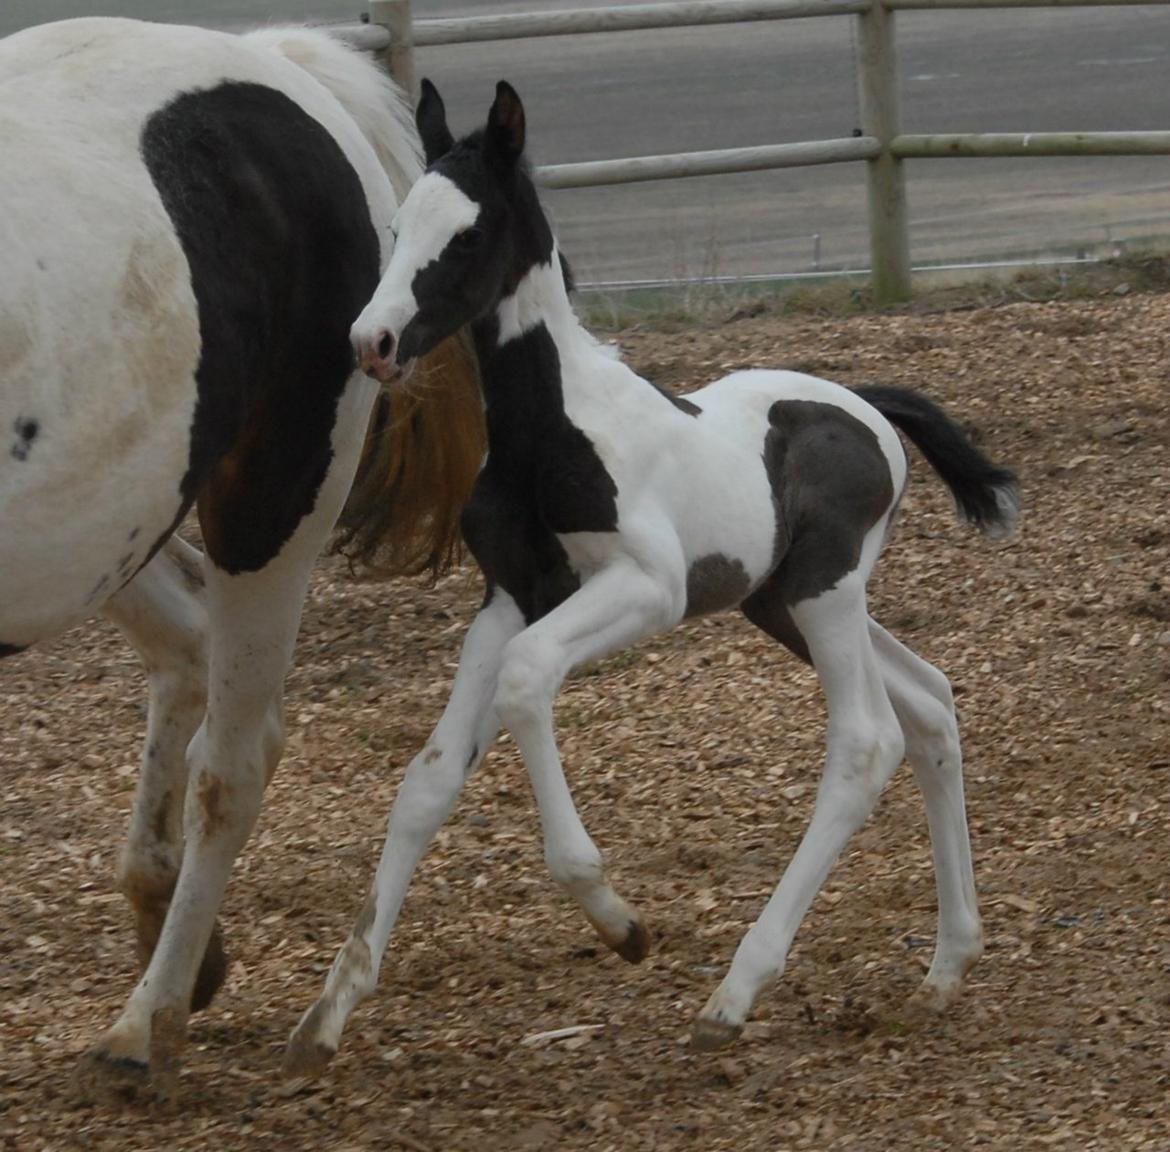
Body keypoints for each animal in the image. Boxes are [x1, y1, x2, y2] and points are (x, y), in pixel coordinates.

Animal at [0, 20, 482, 1094]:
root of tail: (273, 57)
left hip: (272, 506)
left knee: (234, 762)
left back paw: (149, 1018)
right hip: (108, 526)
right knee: (186, 647)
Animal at [287, 83, 1020, 1080]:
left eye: (468, 236)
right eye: (397, 227)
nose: (374, 340)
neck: (550, 429)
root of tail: (868, 406)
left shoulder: (646, 588)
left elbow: (527, 680)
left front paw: (620, 923)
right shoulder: (509, 597)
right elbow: (432, 775)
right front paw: (330, 1010)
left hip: (824, 591)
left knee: (868, 741)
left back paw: (736, 994)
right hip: (779, 602)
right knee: (932, 702)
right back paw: (947, 965)